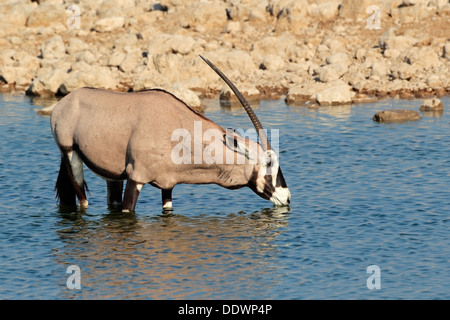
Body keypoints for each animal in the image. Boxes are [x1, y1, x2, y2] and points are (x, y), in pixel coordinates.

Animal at [51, 56, 292, 211]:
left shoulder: (168, 185)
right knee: (82, 200)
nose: (287, 197)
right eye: (268, 163)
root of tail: (63, 103)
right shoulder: (136, 177)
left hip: (113, 174)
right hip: (70, 153)